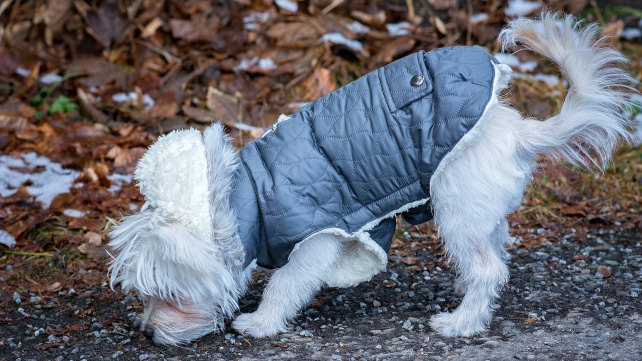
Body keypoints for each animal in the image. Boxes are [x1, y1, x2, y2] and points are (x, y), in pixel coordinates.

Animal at [106, 13, 632, 344]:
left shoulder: (317, 239)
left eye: (170, 295)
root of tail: (514, 130)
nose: (146, 332)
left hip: (457, 211)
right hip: (478, 213)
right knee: (494, 256)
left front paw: (260, 323)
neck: (244, 196)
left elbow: (285, 285)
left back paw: (462, 322)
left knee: (489, 268)